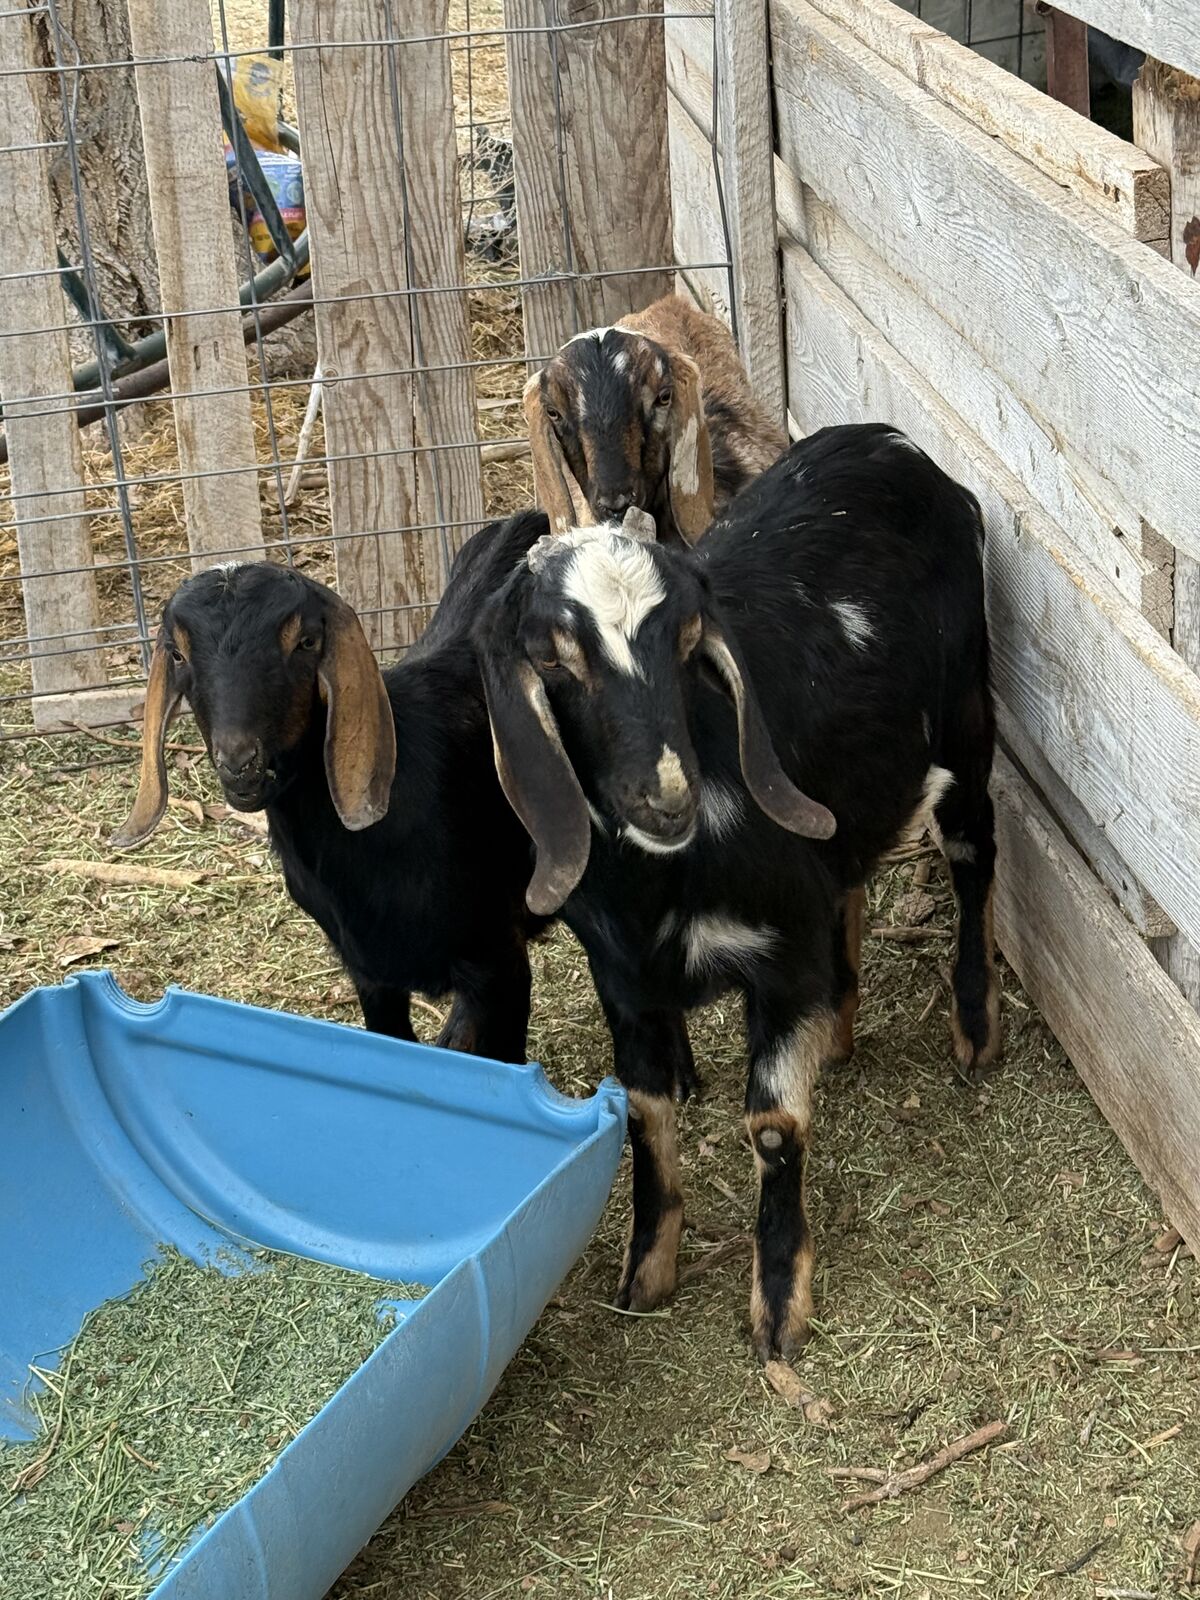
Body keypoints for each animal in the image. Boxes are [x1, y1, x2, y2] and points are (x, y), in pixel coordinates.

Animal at [473, 424, 999, 1361]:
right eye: (553, 656)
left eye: (687, 640)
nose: (666, 798)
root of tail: (893, 440)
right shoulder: (624, 981)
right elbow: (645, 1117)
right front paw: (644, 1276)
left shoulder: (779, 959)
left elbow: (774, 1128)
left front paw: (781, 1305)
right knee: (848, 875)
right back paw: (842, 1025)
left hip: (966, 718)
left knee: (976, 852)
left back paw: (975, 1028)